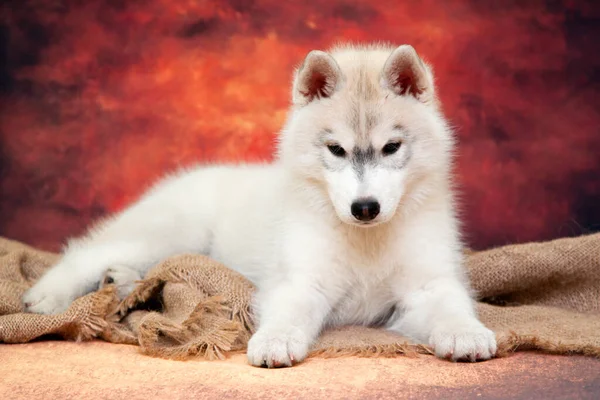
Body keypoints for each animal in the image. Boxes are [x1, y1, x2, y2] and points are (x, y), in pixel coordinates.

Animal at [23, 43, 496, 366]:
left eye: (391, 147)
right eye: (337, 150)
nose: (365, 208)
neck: (366, 241)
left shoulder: (429, 283)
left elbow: (452, 306)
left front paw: (466, 334)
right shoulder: (303, 281)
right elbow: (290, 311)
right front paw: (276, 339)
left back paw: (119, 282)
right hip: (168, 232)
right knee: (86, 252)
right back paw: (48, 298)